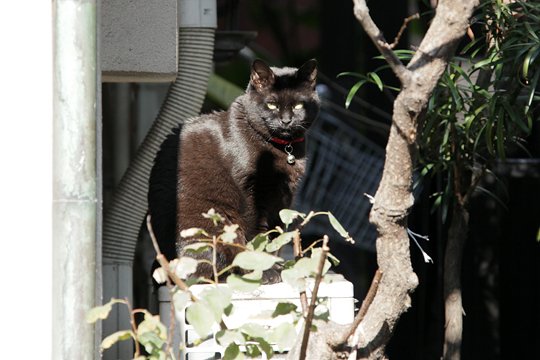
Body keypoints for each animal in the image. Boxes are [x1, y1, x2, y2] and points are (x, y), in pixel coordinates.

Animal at [148, 59, 318, 282]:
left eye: (299, 105)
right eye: (271, 104)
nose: (286, 120)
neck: (283, 149)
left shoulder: (284, 197)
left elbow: (277, 235)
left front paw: (278, 266)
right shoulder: (251, 193)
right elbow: (256, 234)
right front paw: (265, 271)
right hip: (216, 221)